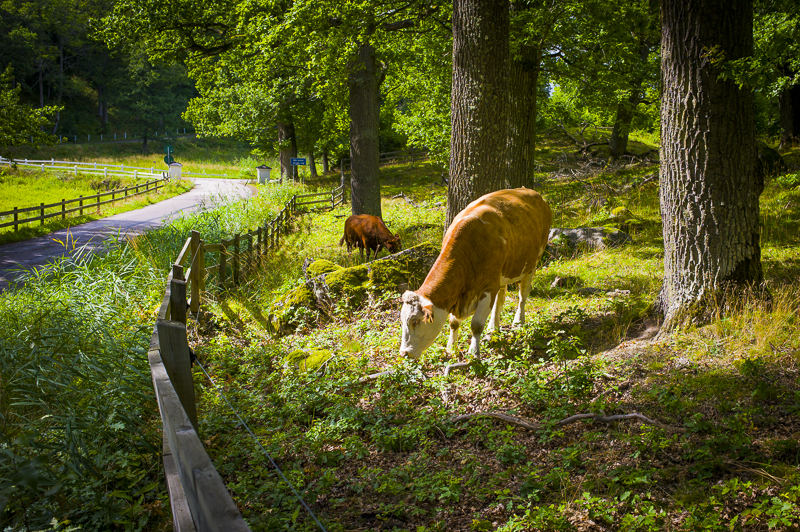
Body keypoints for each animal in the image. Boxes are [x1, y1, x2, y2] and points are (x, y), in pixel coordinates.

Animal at [398, 189, 552, 360]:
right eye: (403, 321)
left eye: (415, 321)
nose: (404, 353)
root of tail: (530, 191)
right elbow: (453, 322)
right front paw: (451, 348)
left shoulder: (488, 287)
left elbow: (476, 324)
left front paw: (474, 353)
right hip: (503, 274)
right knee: (501, 298)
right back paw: (493, 327)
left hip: (532, 264)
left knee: (522, 295)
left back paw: (518, 322)